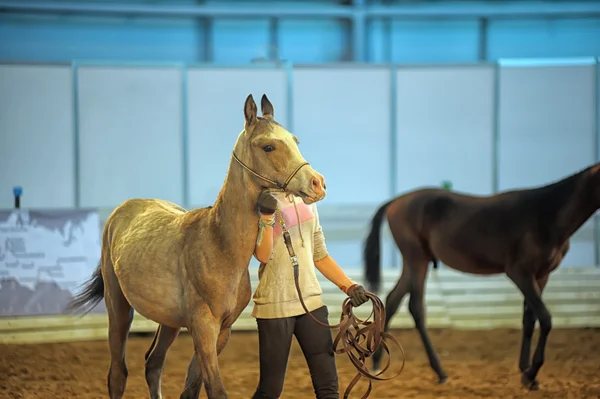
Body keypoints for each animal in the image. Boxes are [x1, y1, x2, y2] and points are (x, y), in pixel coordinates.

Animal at [67, 94, 326, 399]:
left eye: (295, 140)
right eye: (269, 146)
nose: (317, 183)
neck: (219, 245)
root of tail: (122, 211)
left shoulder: (222, 331)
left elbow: (192, 387)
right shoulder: (203, 329)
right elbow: (215, 389)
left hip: (168, 322)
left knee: (153, 363)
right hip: (117, 305)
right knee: (118, 373)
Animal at [360, 162, 600, 390]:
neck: (546, 214)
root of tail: (395, 202)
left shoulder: (541, 275)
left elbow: (529, 318)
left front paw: (525, 370)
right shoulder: (520, 274)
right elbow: (546, 319)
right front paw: (531, 375)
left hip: (415, 262)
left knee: (392, 300)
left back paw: (377, 363)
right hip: (416, 259)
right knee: (416, 308)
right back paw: (440, 372)